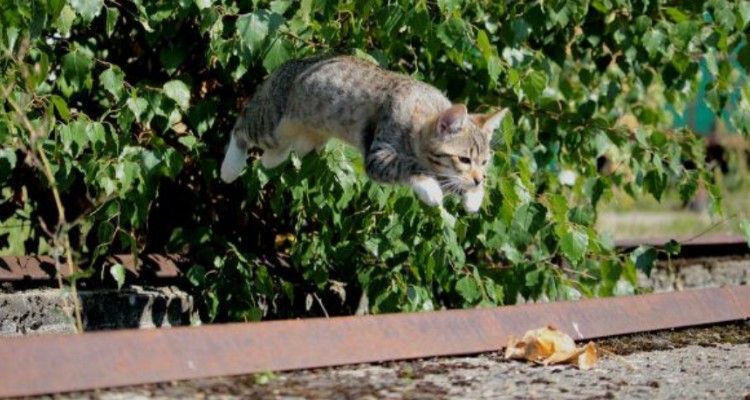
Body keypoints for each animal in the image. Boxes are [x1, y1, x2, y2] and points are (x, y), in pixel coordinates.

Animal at [219, 55, 512, 216]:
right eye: (464, 159)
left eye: (484, 162)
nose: (479, 178)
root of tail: (285, 64)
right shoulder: (379, 154)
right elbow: (409, 165)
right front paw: (430, 188)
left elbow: (442, 174)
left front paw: (474, 195)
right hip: (271, 123)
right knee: (241, 126)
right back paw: (230, 168)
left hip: (305, 138)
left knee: (277, 153)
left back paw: (271, 159)